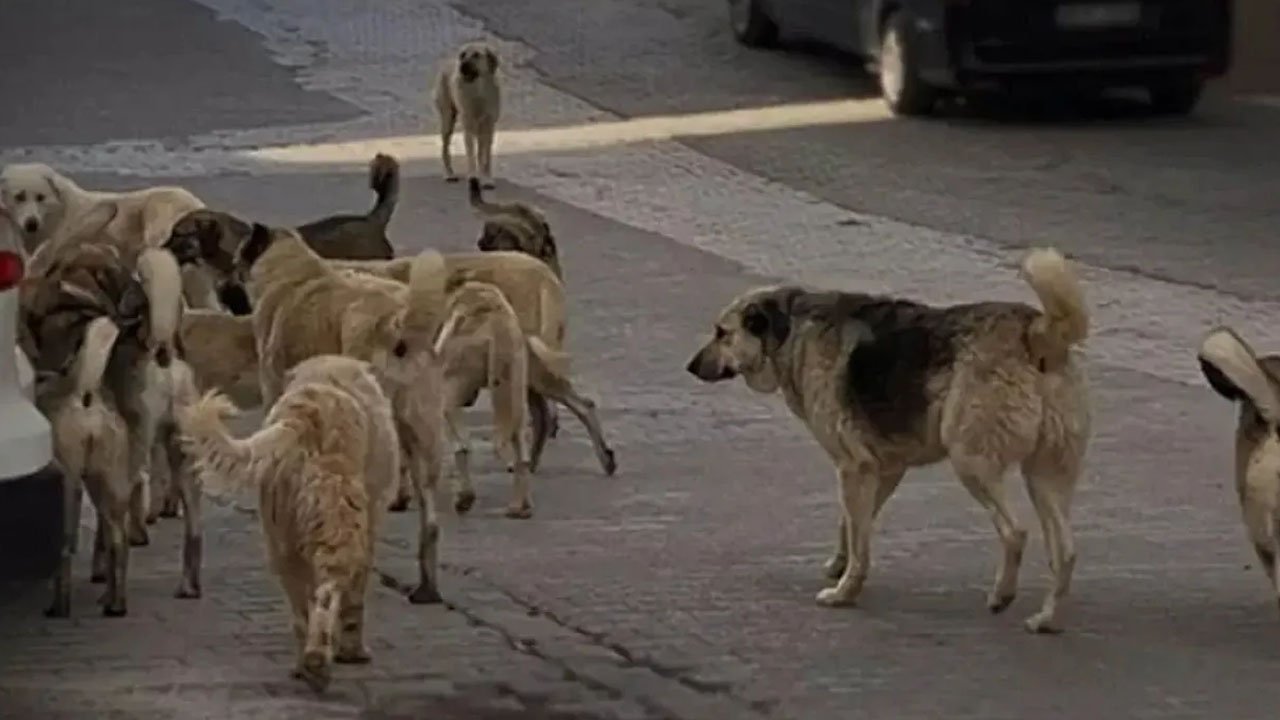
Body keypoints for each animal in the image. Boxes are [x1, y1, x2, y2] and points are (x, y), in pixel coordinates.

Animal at [175, 353, 394, 691]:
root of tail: (302, 418)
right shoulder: (370, 526)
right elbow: (355, 598)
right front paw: (353, 651)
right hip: (339, 525)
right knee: (327, 593)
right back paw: (318, 661)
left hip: (281, 540)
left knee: (301, 607)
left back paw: (305, 665)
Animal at [437, 40, 501, 188]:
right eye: (462, 55)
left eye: (476, 55)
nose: (462, 66)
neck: (478, 92)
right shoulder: (469, 126)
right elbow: (471, 154)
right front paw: (472, 176)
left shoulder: (488, 127)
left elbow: (485, 157)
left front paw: (486, 178)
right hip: (448, 121)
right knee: (445, 148)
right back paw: (449, 174)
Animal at [686, 249, 1095, 630]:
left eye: (722, 333)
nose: (690, 367)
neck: (792, 331)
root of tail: (1036, 333)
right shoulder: (882, 469)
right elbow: (853, 527)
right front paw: (841, 566)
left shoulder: (854, 467)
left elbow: (859, 539)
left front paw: (844, 593)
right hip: (1045, 478)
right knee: (1066, 551)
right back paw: (1046, 619)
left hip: (972, 463)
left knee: (1015, 532)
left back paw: (1001, 595)